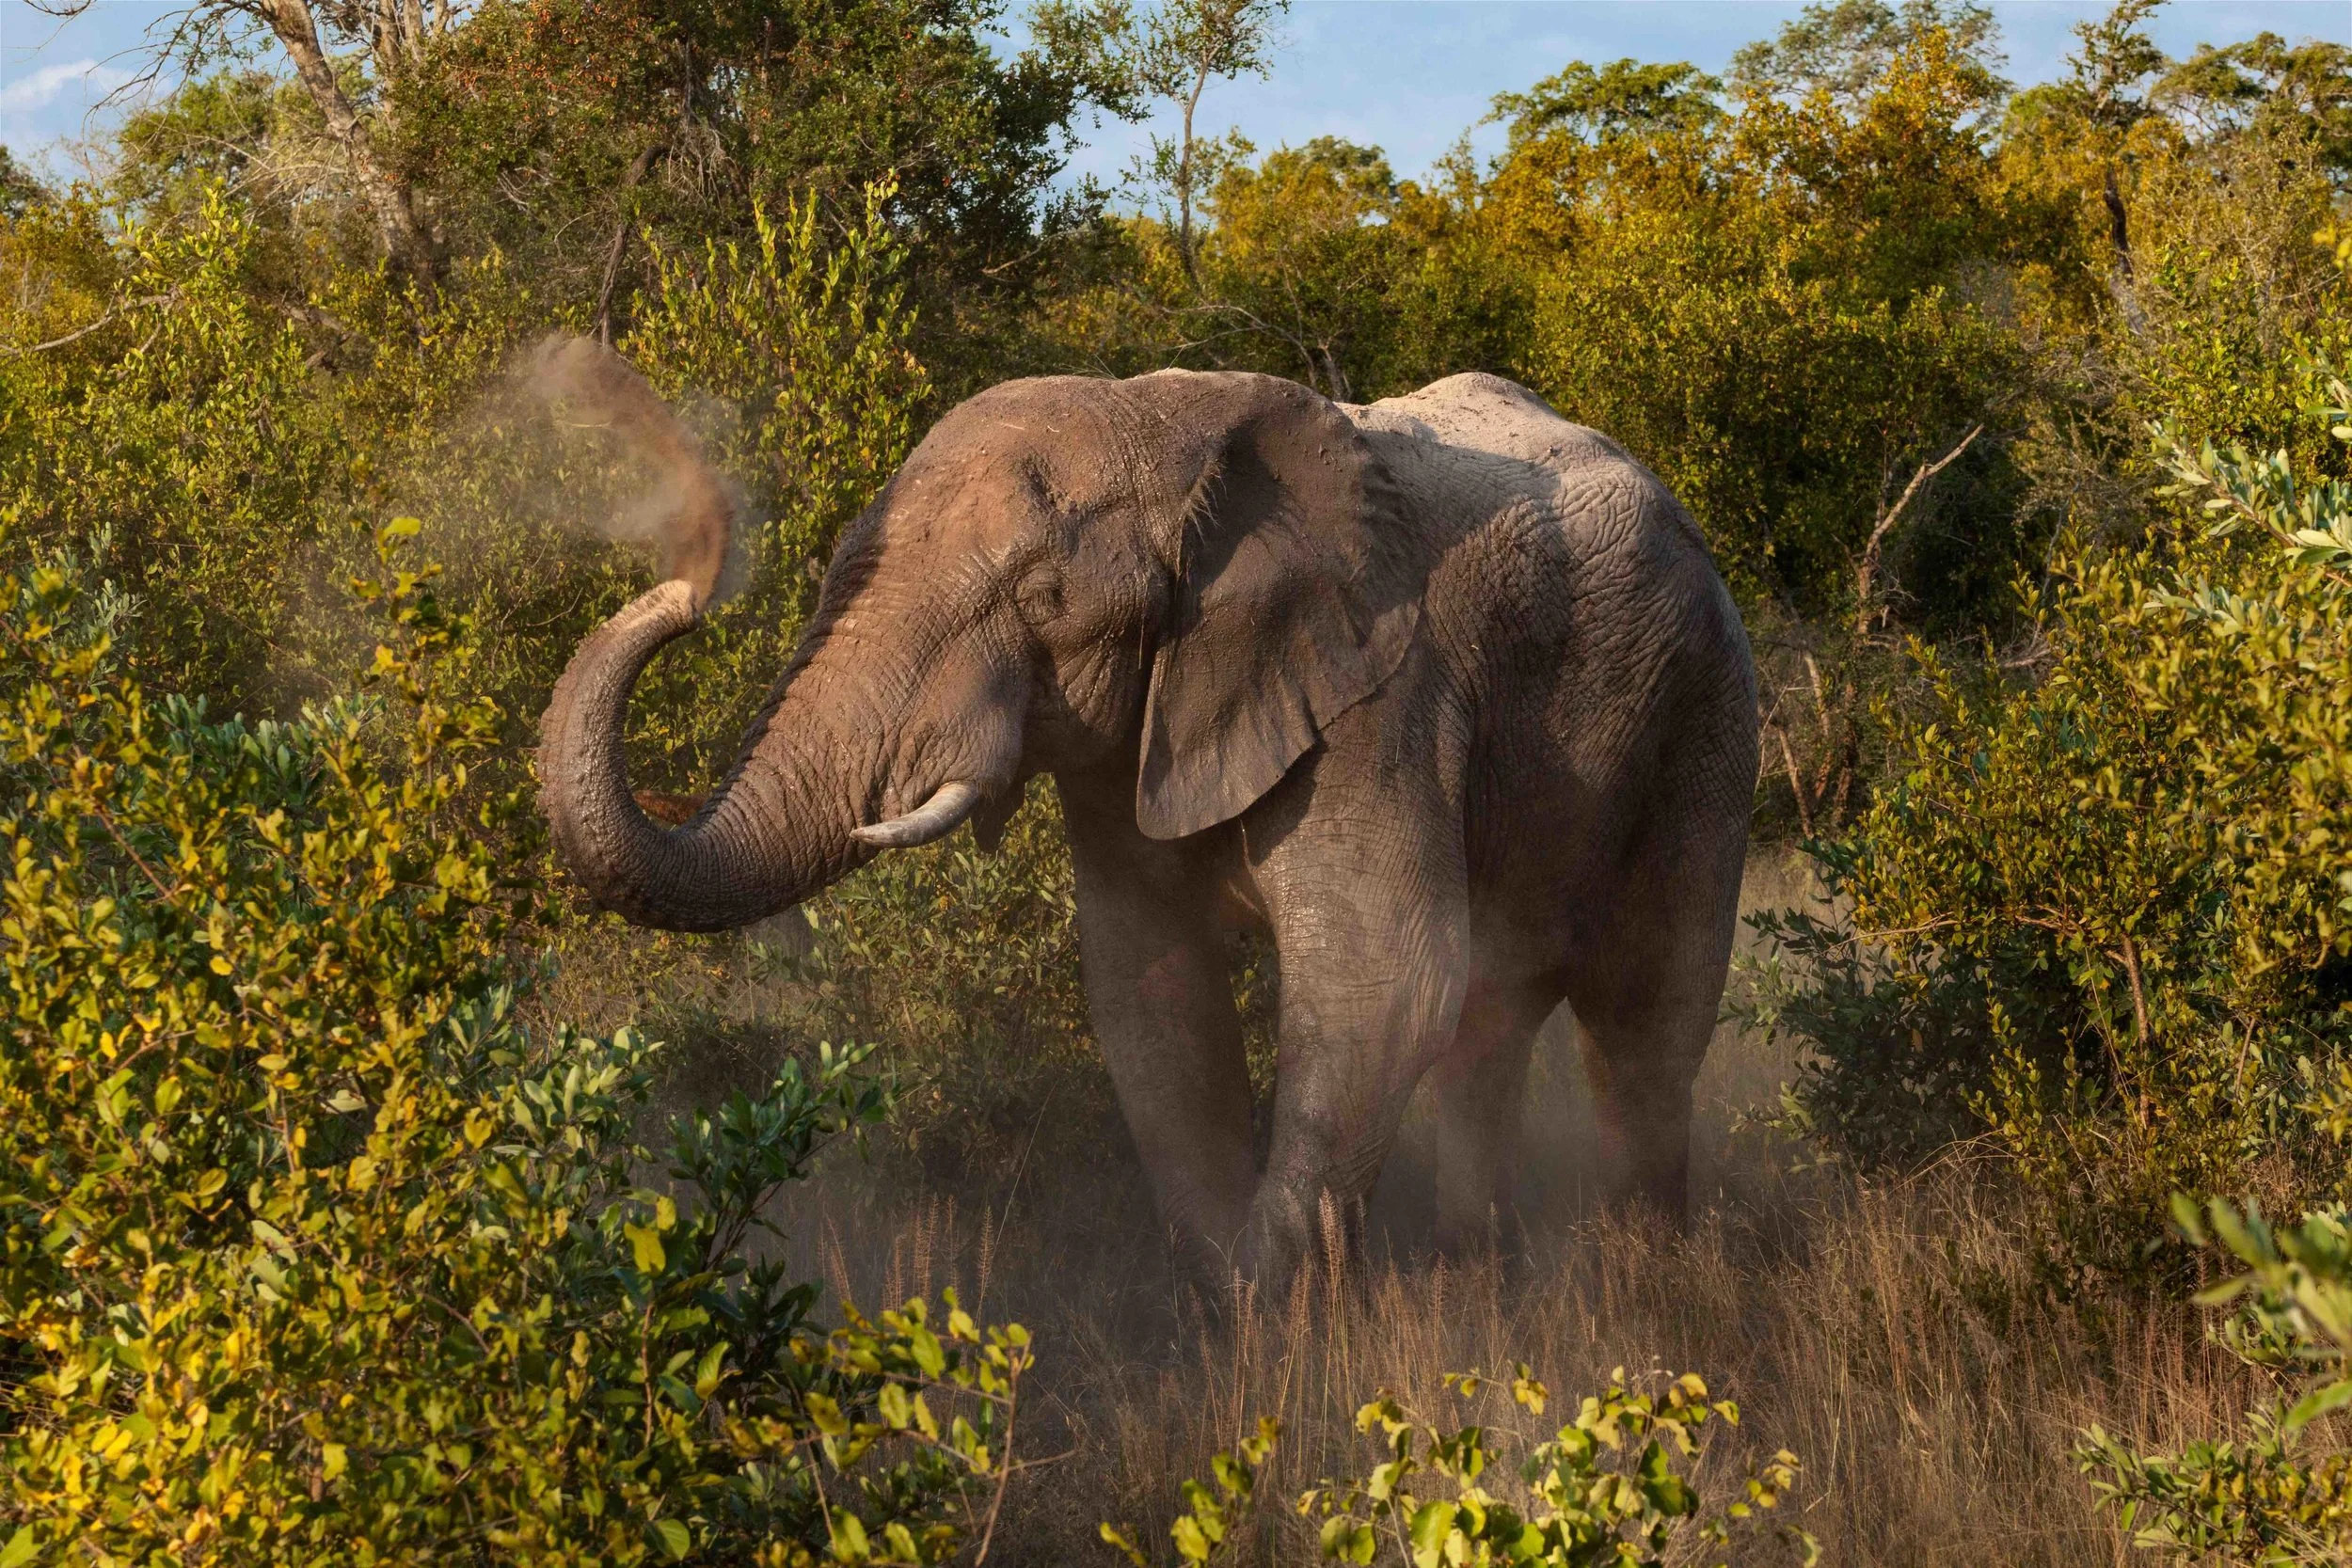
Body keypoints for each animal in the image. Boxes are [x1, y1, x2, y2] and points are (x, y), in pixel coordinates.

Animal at [540, 355, 1759, 1283]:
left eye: (1040, 602)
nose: (686, 588)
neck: (1176, 424)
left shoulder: (1388, 701)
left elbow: (1384, 975)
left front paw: (1272, 1299)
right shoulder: (1127, 733)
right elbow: (1147, 985)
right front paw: (1224, 1295)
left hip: (1705, 717)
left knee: (1643, 1029)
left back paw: (1651, 1282)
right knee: (1491, 1034)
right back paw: (1481, 1272)